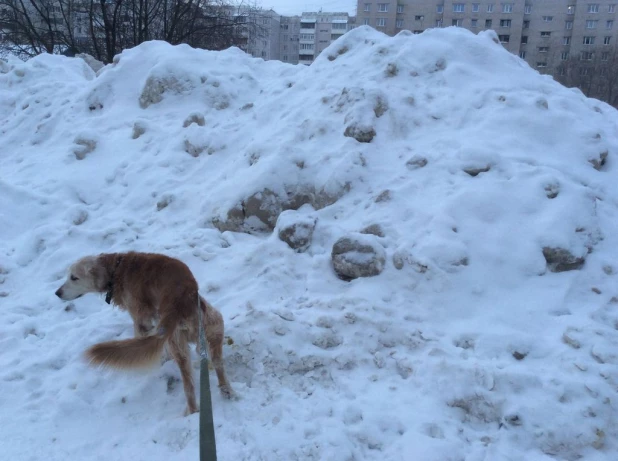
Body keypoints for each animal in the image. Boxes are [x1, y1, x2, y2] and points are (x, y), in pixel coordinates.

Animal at [54, 250, 232, 416]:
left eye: (74, 277)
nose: (57, 293)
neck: (117, 269)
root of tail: (179, 301)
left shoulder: (140, 320)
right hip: (213, 324)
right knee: (214, 364)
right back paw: (225, 390)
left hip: (178, 338)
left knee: (188, 385)